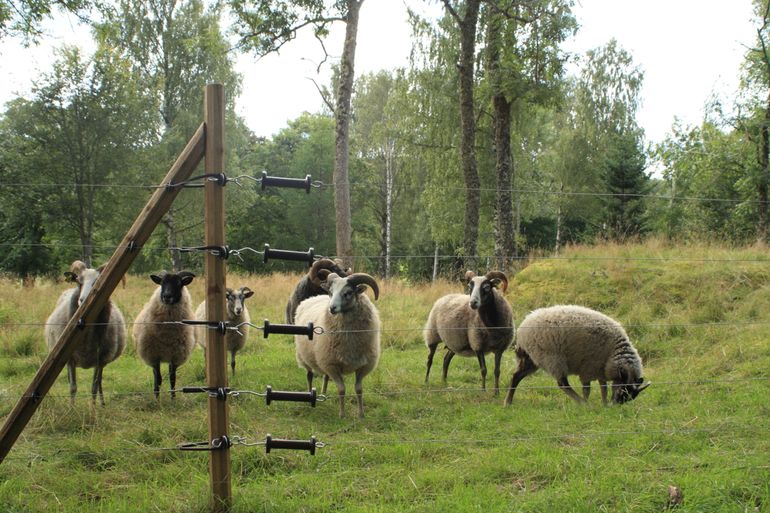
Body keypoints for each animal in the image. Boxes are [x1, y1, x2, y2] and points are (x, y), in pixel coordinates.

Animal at [45, 260, 126, 404]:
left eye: (98, 282)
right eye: (79, 281)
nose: (83, 300)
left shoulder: (100, 359)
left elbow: (94, 387)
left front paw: (93, 409)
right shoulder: (69, 358)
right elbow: (73, 387)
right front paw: (71, 408)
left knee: (100, 382)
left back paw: (102, 403)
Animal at [131, 270, 195, 398]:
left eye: (179, 283)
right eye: (161, 283)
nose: (166, 296)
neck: (167, 336)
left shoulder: (175, 356)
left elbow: (172, 378)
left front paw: (173, 398)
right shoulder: (153, 356)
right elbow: (158, 379)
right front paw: (157, 399)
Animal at [292, 272, 380, 416]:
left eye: (348, 293)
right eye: (331, 292)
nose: (331, 308)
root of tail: (313, 297)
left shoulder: (363, 366)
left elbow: (359, 390)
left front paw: (361, 414)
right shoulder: (333, 365)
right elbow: (341, 390)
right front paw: (342, 415)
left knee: (325, 376)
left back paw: (323, 394)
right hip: (305, 356)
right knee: (309, 375)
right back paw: (310, 394)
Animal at [504, 304, 648, 404]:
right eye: (624, 390)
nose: (615, 406)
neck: (613, 352)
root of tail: (522, 329)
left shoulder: (600, 368)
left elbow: (603, 388)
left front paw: (604, 403)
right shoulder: (589, 368)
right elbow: (587, 389)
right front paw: (590, 402)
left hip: (532, 358)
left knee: (516, 376)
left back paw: (508, 402)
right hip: (552, 358)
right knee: (563, 384)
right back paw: (582, 402)